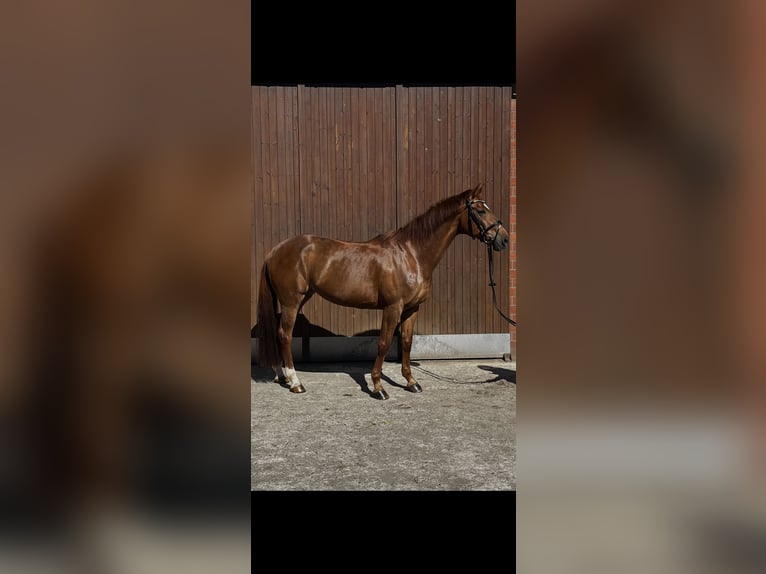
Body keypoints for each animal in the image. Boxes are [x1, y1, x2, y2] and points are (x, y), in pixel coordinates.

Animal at [256, 183, 510, 400]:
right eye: (480, 210)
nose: (504, 239)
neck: (412, 254)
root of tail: (275, 251)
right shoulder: (392, 307)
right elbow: (385, 343)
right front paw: (378, 387)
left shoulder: (412, 309)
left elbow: (406, 342)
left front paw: (411, 382)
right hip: (291, 302)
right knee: (284, 335)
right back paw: (296, 382)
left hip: (293, 300)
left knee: (277, 333)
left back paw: (282, 376)